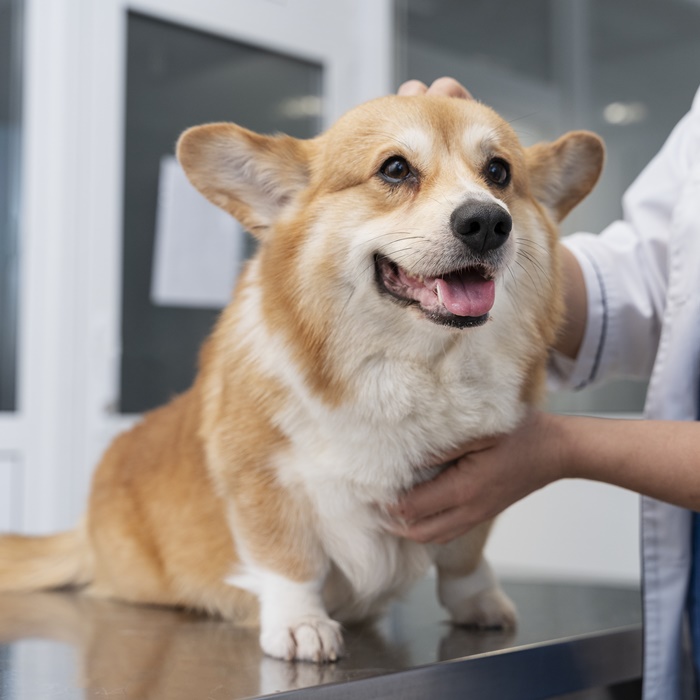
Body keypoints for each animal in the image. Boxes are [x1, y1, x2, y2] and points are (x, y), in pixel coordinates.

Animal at [0, 94, 604, 660]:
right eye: (395, 169)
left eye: (499, 172)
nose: (487, 222)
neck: (415, 366)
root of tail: (84, 530)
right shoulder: (261, 479)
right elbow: (288, 560)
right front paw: (299, 625)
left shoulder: (477, 487)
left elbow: (464, 558)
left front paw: (479, 603)